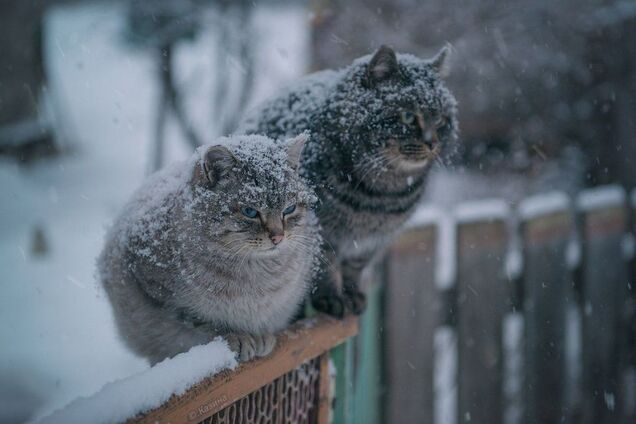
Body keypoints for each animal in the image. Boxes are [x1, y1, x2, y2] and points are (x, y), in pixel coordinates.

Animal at [98, 134, 318, 362]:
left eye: (289, 209)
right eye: (250, 211)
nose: (278, 237)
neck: (256, 273)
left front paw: (261, 336)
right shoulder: (162, 295)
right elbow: (204, 322)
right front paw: (239, 336)